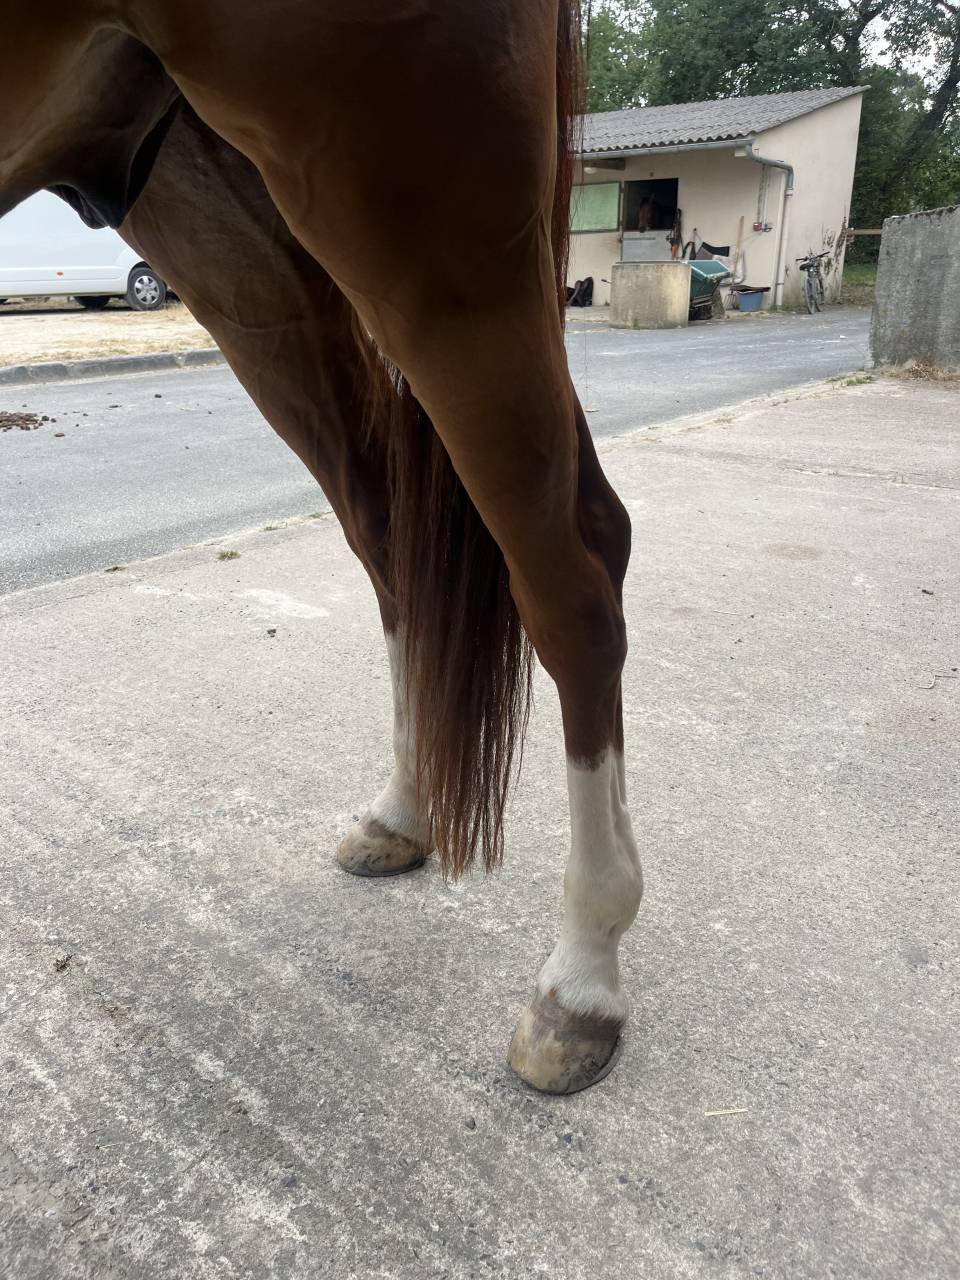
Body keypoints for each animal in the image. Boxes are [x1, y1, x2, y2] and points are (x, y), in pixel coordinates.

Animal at [1, 1, 643, 1095]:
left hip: (421, 241)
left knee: (571, 583)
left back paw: (582, 976)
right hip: (235, 233)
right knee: (402, 543)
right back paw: (404, 813)